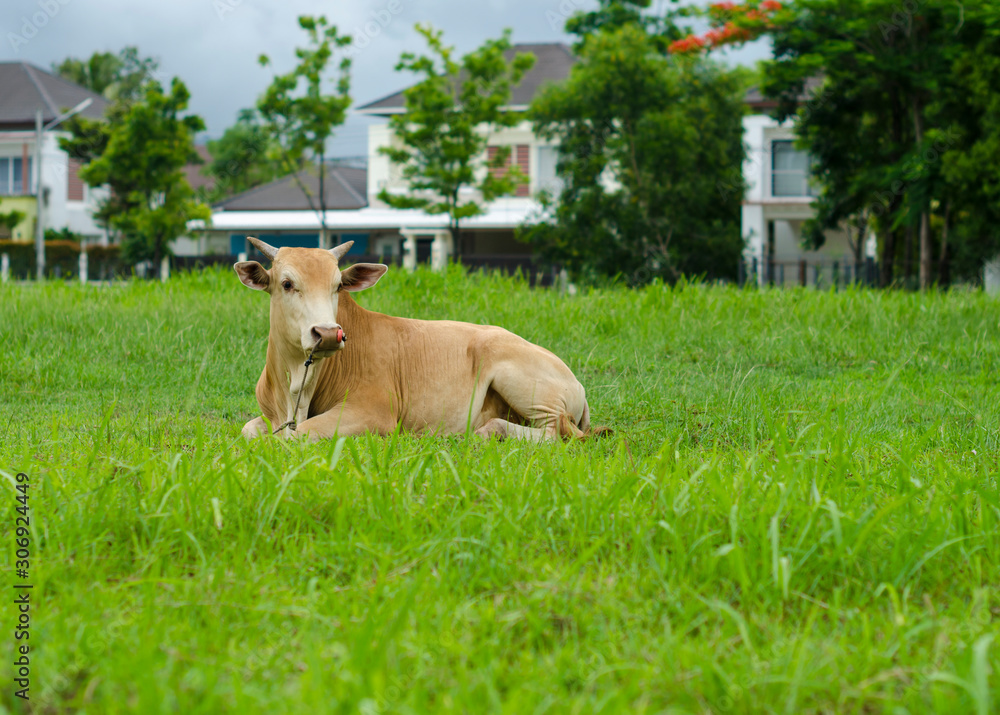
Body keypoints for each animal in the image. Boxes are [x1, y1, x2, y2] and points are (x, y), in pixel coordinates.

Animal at [234, 237, 604, 442]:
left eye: (337, 286)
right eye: (286, 283)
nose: (327, 333)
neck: (297, 382)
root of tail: (576, 382)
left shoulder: (372, 413)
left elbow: (297, 435)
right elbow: (249, 431)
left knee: (559, 433)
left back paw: (488, 431)